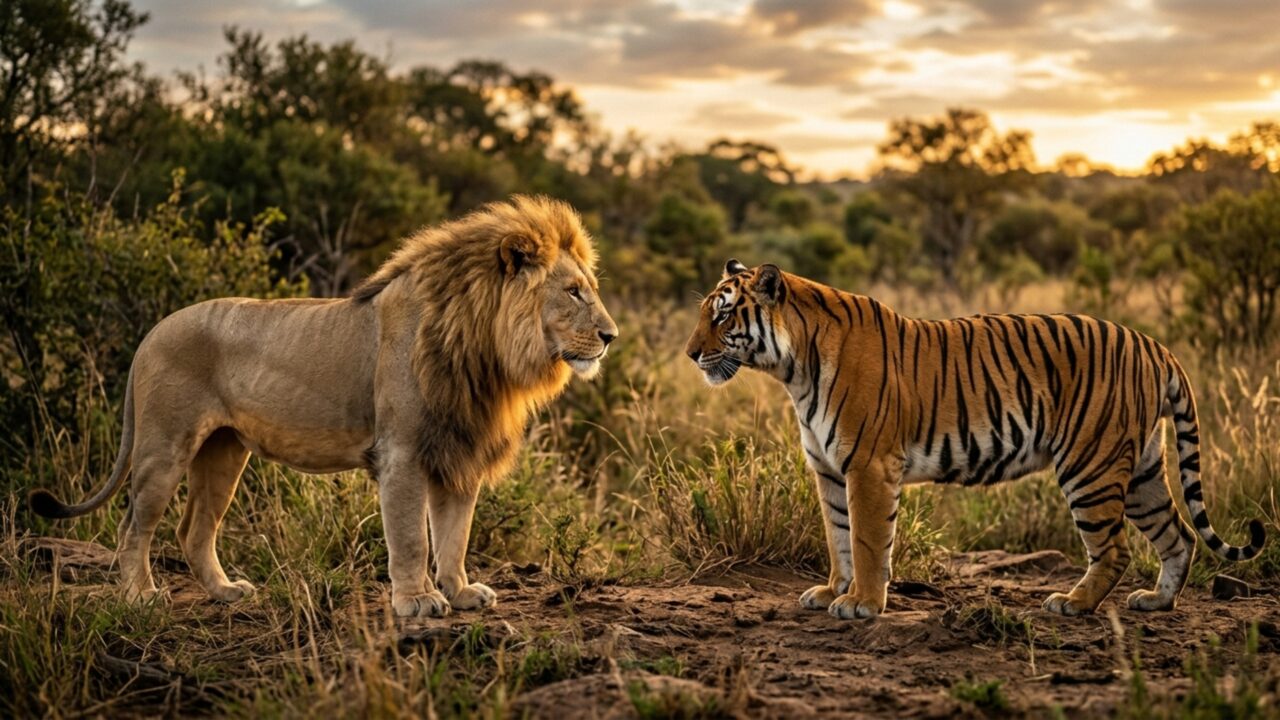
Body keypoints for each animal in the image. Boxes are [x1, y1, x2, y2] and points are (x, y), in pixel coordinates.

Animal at [29, 195, 617, 618]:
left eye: (588, 288)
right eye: (573, 292)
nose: (611, 336)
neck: (485, 348)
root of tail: (149, 334)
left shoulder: (458, 451)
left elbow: (454, 534)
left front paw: (462, 591)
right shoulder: (403, 454)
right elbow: (410, 536)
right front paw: (417, 601)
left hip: (224, 453)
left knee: (193, 529)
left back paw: (226, 592)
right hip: (164, 447)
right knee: (134, 526)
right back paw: (140, 597)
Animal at [684, 259, 1266, 618]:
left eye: (723, 316)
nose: (690, 354)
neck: (793, 369)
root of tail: (1154, 345)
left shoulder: (868, 466)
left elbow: (868, 541)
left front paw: (862, 603)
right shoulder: (828, 470)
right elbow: (838, 537)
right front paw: (832, 590)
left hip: (1091, 466)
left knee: (1116, 548)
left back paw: (1073, 603)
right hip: (1140, 466)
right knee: (1179, 535)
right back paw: (1156, 601)